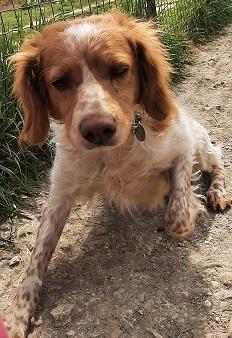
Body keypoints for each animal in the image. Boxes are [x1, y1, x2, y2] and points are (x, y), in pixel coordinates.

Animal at [5, 12, 230, 338]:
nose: (97, 129)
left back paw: (216, 193)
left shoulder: (182, 144)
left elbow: (179, 211)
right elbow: (38, 254)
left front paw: (186, 207)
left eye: (120, 70)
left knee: (218, 161)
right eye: (59, 82)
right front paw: (19, 312)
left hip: (202, 145)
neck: (115, 154)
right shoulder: (61, 192)